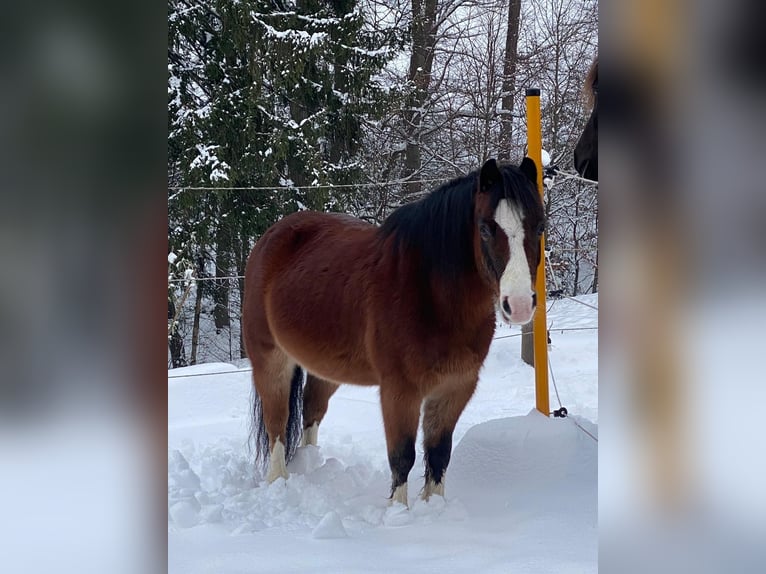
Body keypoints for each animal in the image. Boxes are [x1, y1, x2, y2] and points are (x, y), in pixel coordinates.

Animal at [242, 157, 546, 506]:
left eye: (540, 226)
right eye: (485, 228)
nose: (519, 304)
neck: (431, 295)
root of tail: (270, 237)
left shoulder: (455, 387)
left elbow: (439, 453)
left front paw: (433, 508)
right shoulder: (400, 391)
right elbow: (402, 456)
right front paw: (398, 513)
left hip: (326, 368)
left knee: (311, 409)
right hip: (270, 360)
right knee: (276, 423)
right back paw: (279, 480)